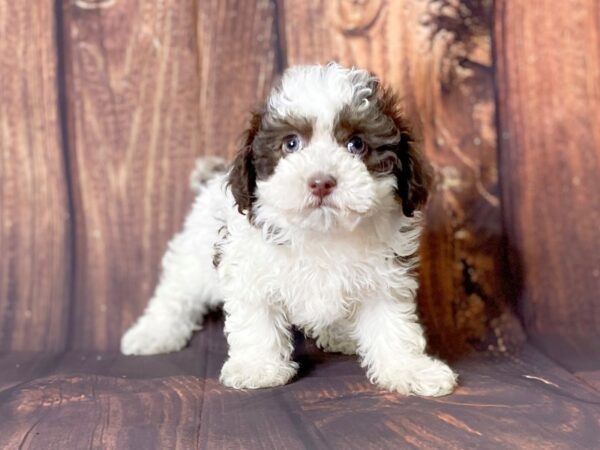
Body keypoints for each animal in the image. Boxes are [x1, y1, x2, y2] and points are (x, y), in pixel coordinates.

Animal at [123, 61, 460, 396]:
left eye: (356, 144)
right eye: (291, 143)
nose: (321, 182)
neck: (321, 234)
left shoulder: (385, 275)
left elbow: (393, 323)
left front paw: (410, 369)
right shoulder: (248, 268)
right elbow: (256, 318)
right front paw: (258, 368)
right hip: (193, 255)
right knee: (176, 293)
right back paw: (154, 332)